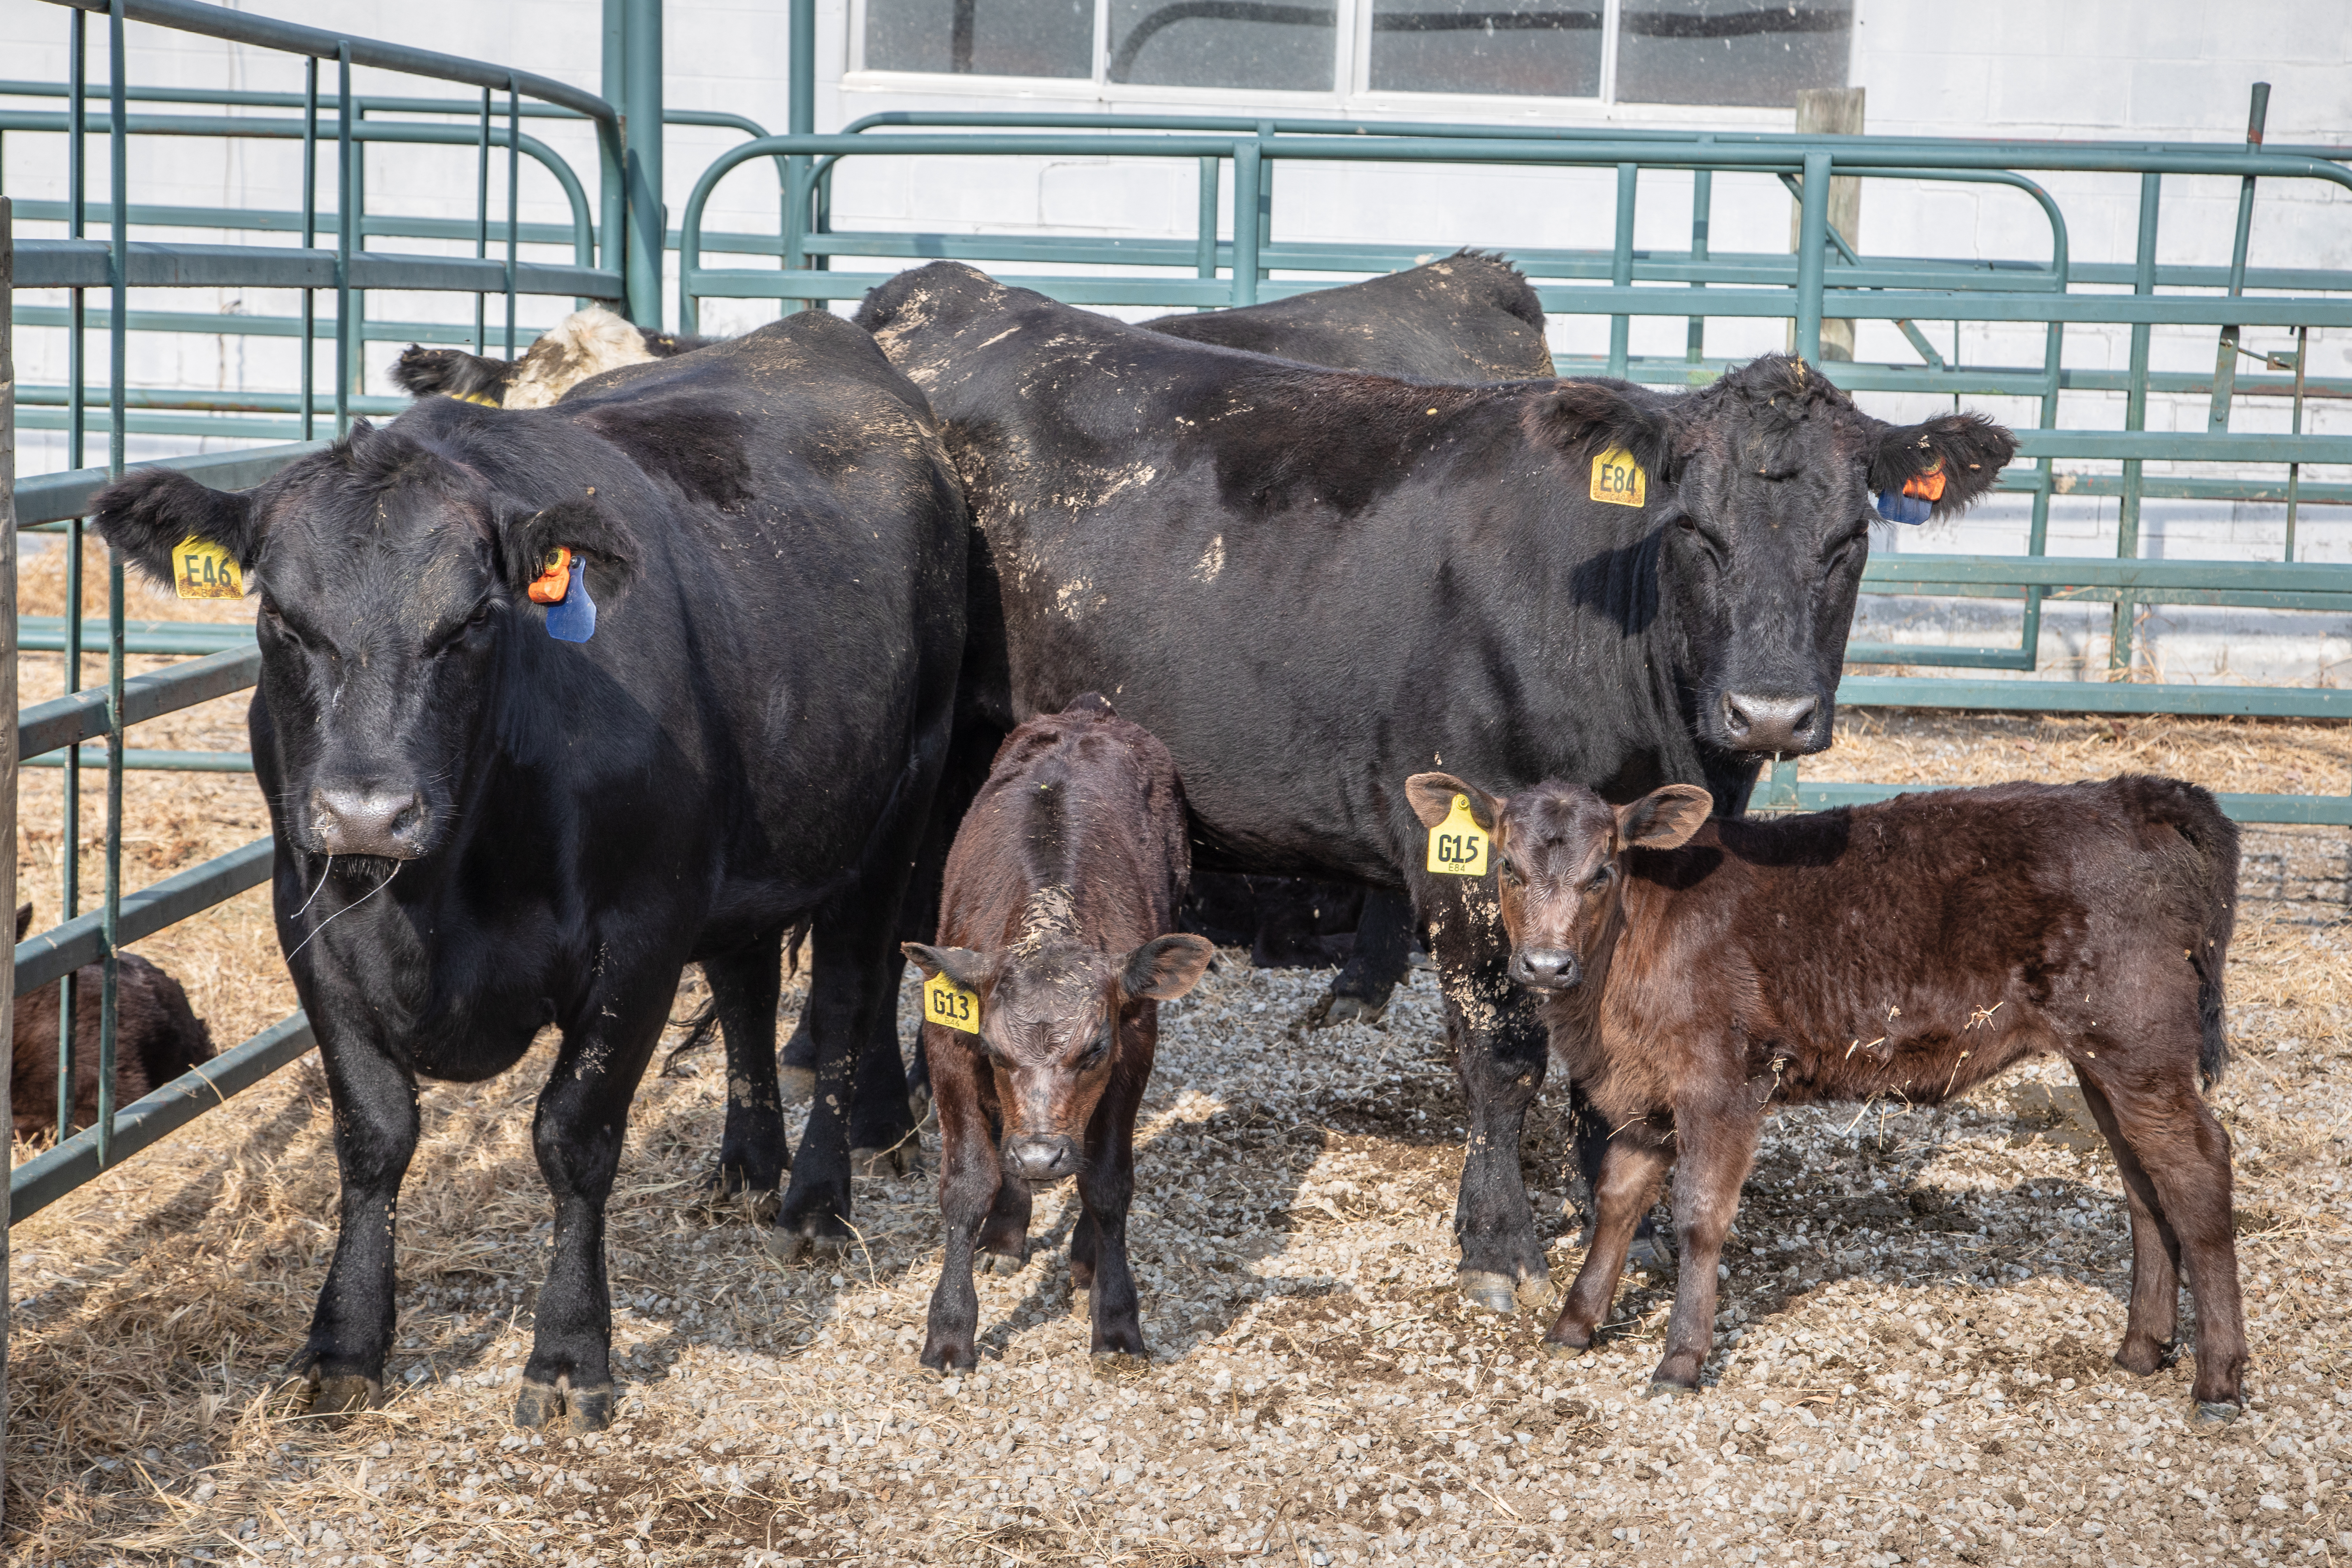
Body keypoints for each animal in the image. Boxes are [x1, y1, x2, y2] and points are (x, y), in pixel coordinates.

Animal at [94, 310, 964, 1438]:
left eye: (472, 620)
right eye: (281, 616)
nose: (368, 811)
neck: (441, 897)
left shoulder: (639, 936)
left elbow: (573, 1136)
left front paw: (567, 1353)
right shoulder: (311, 923)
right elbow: (373, 1135)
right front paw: (344, 1344)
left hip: (898, 806)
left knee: (854, 991)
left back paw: (816, 1201)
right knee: (745, 988)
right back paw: (744, 1166)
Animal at [903, 700, 1213, 1373]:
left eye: (1093, 1049)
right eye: (995, 1050)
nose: (1042, 1157)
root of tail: (1087, 714)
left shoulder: (1133, 1046)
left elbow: (1108, 1183)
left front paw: (1117, 1320)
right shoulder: (948, 1044)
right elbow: (967, 1184)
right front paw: (949, 1332)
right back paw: (1006, 1230)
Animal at [1401, 771, 2248, 1420]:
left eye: (1601, 872)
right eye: (1507, 868)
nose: (1544, 965)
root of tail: (2130, 793)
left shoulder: (1722, 1082)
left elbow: (1699, 1216)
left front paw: (1679, 1357)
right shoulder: (1643, 1086)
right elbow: (1617, 1197)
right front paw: (1575, 1321)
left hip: (2139, 1041)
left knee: (2197, 1167)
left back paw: (2217, 1379)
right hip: (2102, 1056)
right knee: (2143, 1184)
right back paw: (2141, 1347)